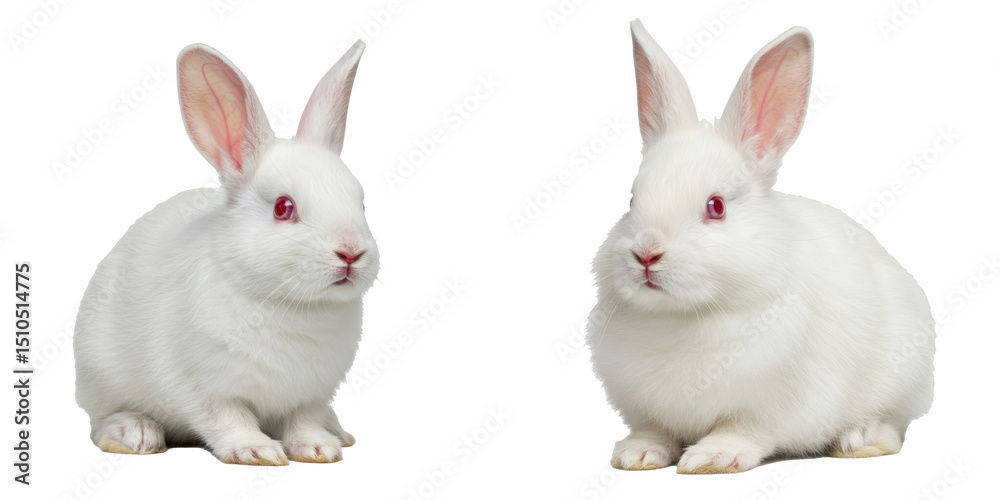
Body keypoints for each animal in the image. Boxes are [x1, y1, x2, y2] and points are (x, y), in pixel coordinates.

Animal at [73, 40, 379, 465]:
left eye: (361, 203)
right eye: (283, 207)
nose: (351, 253)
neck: (291, 304)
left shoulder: (311, 395)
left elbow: (304, 421)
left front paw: (319, 449)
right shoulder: (204, 387)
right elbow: (228, 419)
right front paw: (256, 450)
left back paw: (338, 432)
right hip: (99, 372)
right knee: (99, 421)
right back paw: (135, 433)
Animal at [586, 20, 935, 474]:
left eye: (716, 207)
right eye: (631, 201)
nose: (646, 253)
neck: (684, 316)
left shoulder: (771, 404)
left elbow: (744, 430)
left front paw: (712, 457)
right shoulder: (643, 403)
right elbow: (655, 429)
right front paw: (636, 454)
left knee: (894, 425)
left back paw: (859, 440)